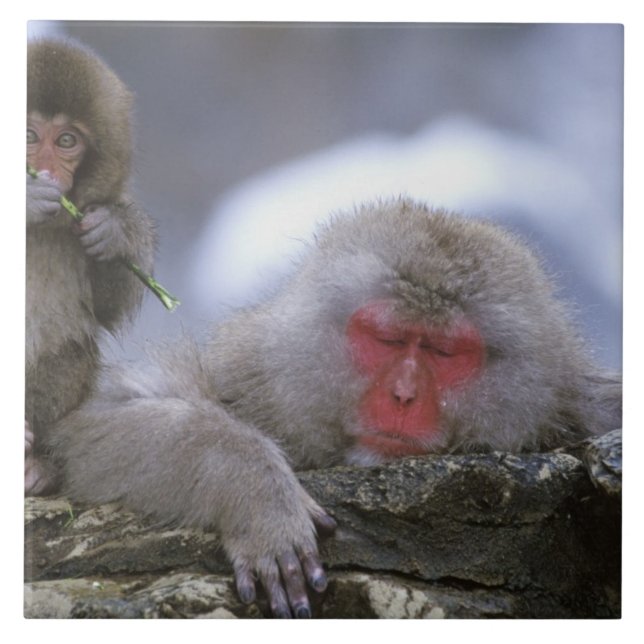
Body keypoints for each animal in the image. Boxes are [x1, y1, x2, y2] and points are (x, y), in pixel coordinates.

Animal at [25, 39, 156, 496]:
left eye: (66, 140)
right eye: (28, 135)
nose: (46, 171)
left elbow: (104, 309)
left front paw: (115, 234)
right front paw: (27, 196)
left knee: (67, 346)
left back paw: (34, 464)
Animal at [49, 198, 621, 617]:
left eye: (443, 352)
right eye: (387, 338)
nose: (403, 396)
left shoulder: (585, 401)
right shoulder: (252, 375)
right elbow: (90, 423)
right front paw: (258, 495)